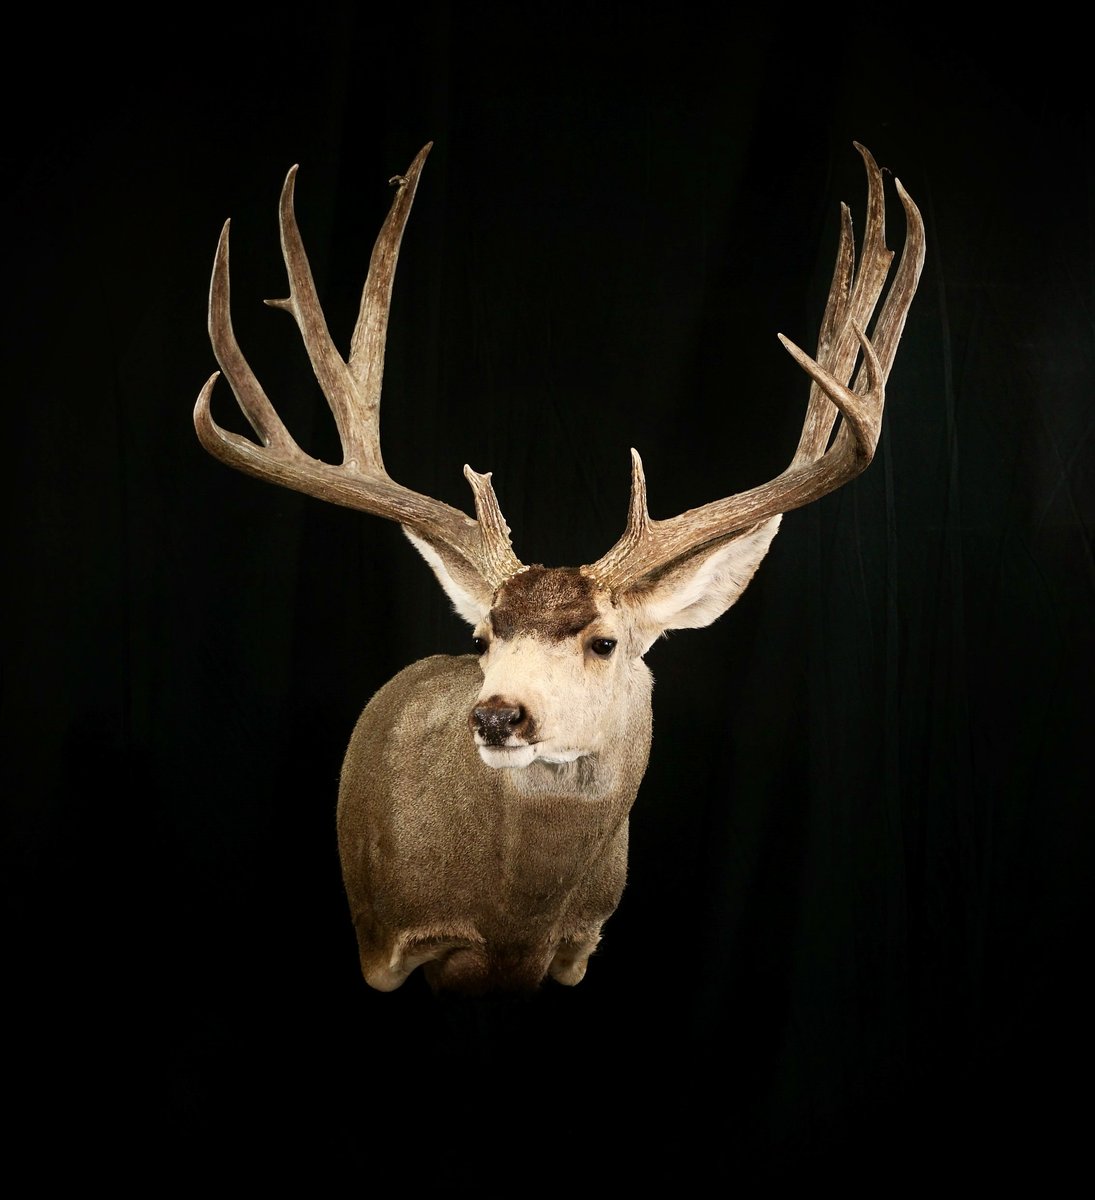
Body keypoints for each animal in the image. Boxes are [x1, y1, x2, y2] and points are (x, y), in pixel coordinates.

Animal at [194, 141, 925, 998]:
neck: (514, 921)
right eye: (483, 638)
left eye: (604, 642)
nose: (496, 716)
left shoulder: (576, 948)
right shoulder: (386, 944)